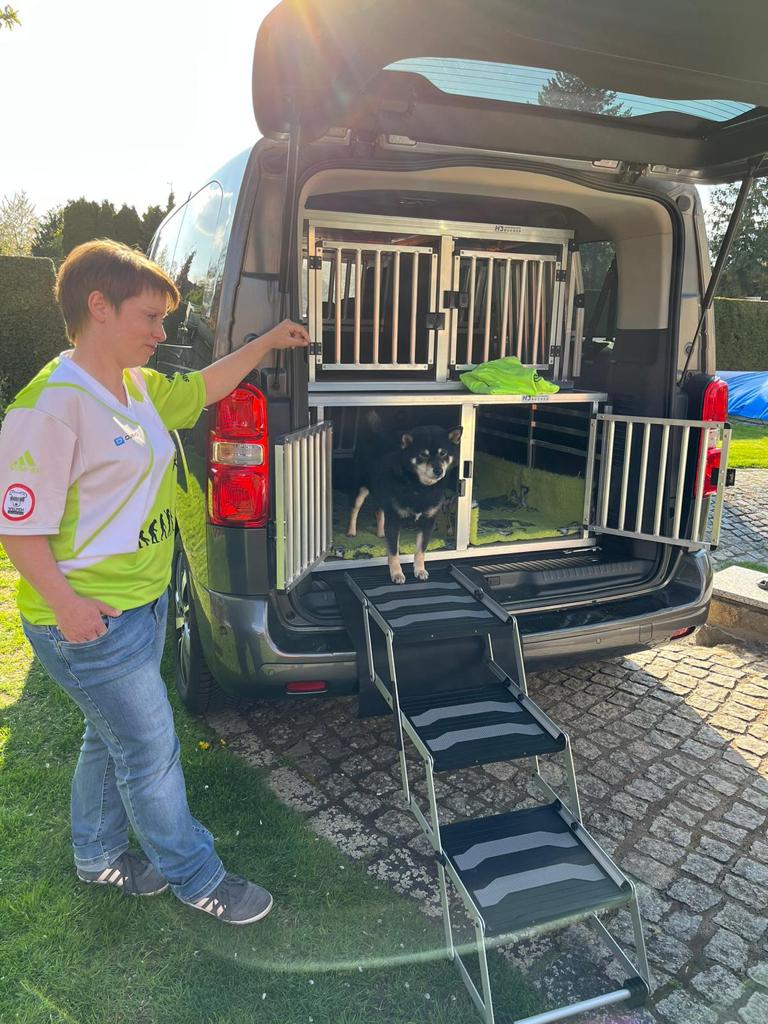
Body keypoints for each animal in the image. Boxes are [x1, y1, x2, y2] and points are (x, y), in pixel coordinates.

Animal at [347, 414, 462, 583]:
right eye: (423, 454)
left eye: (443, 453)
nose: (438, 470)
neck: (420, 487)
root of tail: (376, 435)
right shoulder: (394, 520)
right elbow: (394, 552)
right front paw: (396, 574)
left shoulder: (427, 522)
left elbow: (420, 551)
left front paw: (420, 570)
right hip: (361, 489)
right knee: (355, 510)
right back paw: (351, 531)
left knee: (379, 512)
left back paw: (381, 532)